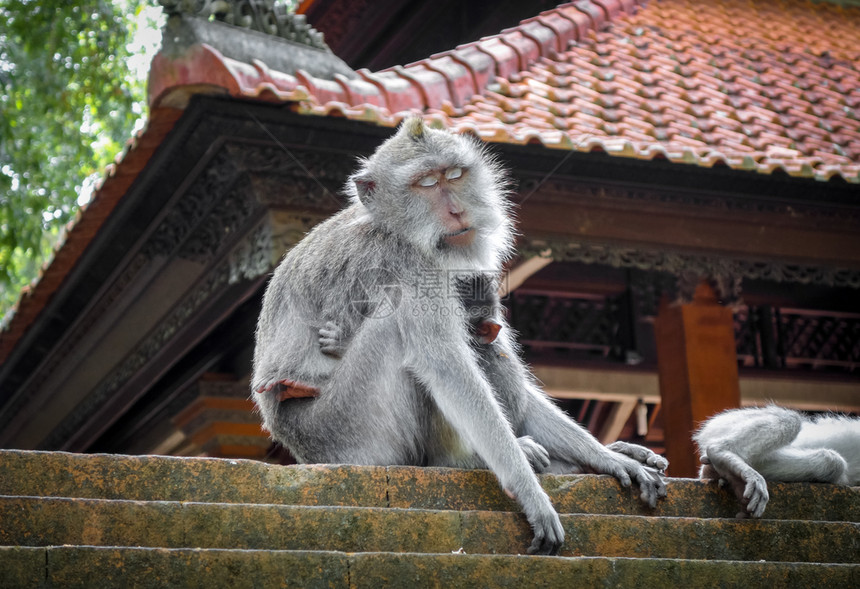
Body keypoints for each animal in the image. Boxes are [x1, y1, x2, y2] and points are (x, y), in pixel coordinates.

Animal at [252, 117, 668, 552]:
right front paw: (530, 492)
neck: (397, 229)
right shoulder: (413, 268)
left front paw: (607, 457)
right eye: (425, 183)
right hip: (348, 432)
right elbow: (448, 369)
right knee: (398, 334)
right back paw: (463, 461)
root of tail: (301, 450)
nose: (456, 210)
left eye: (453, 175)